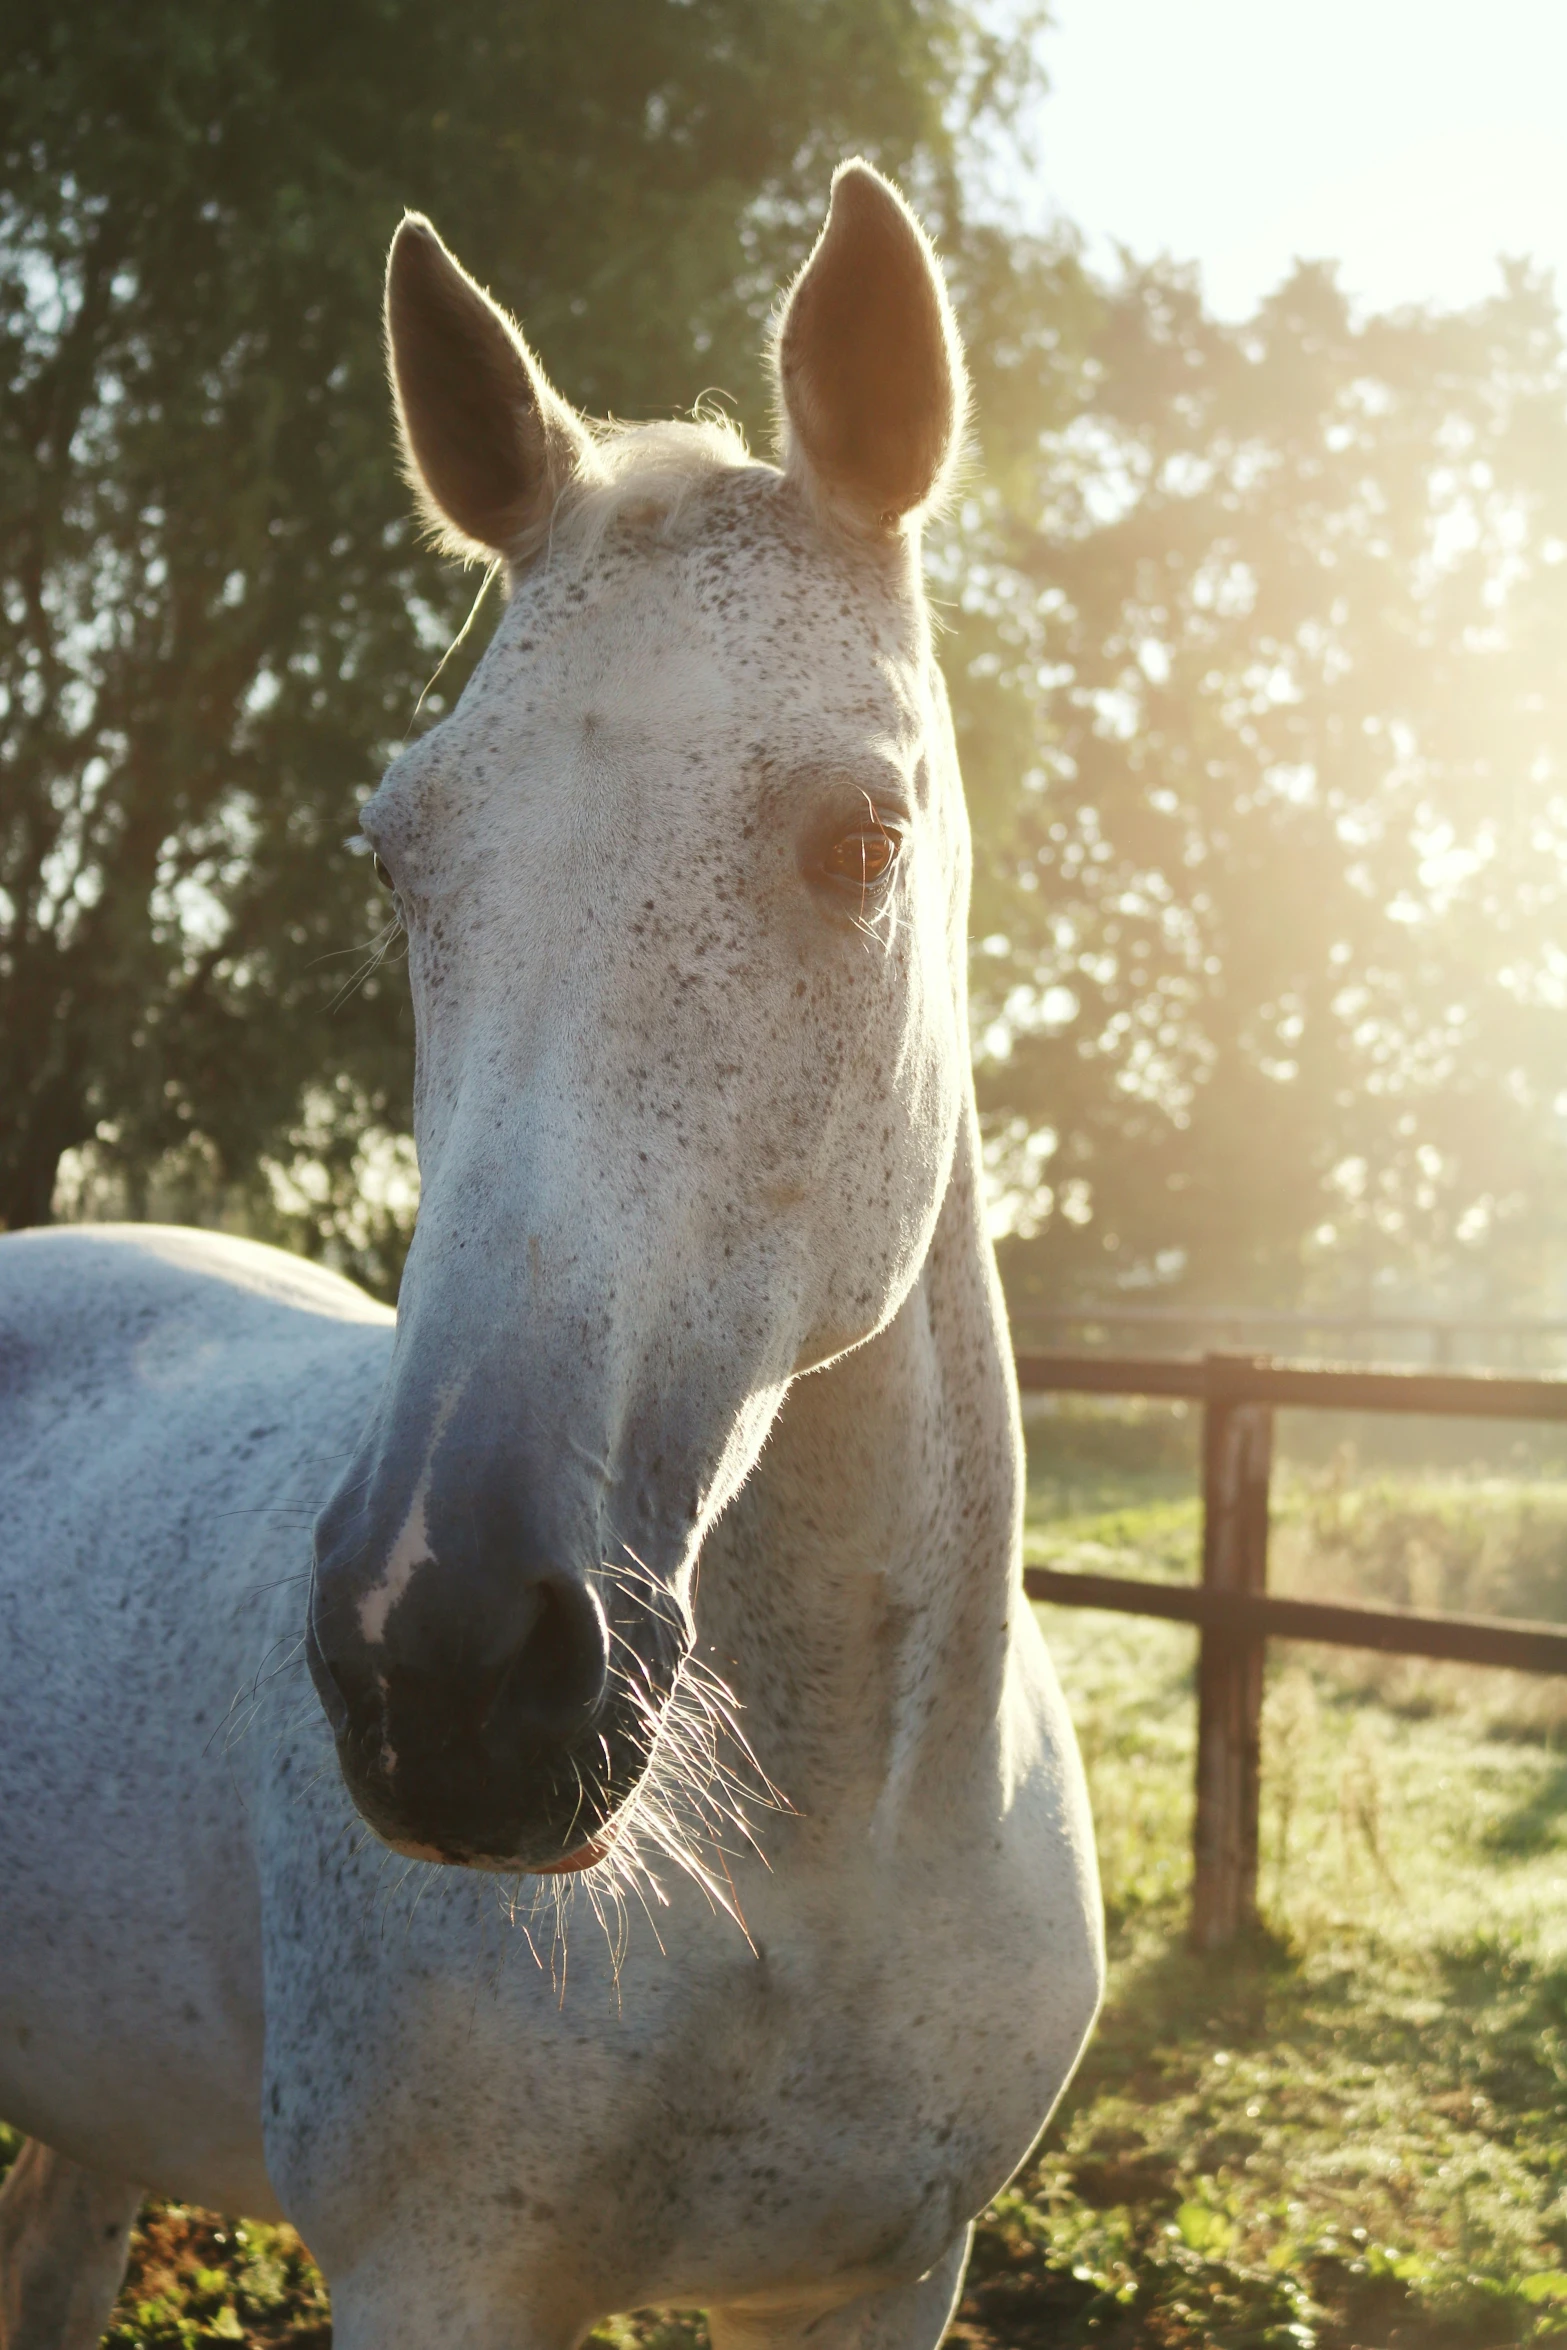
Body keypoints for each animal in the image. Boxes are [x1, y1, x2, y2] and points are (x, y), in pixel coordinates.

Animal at [0, 165, 1104, 2350]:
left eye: (861, 839)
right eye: (398, 851)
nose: (441, 1663)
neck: (808, 1864)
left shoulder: (882, 2273)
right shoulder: (436, 2274)